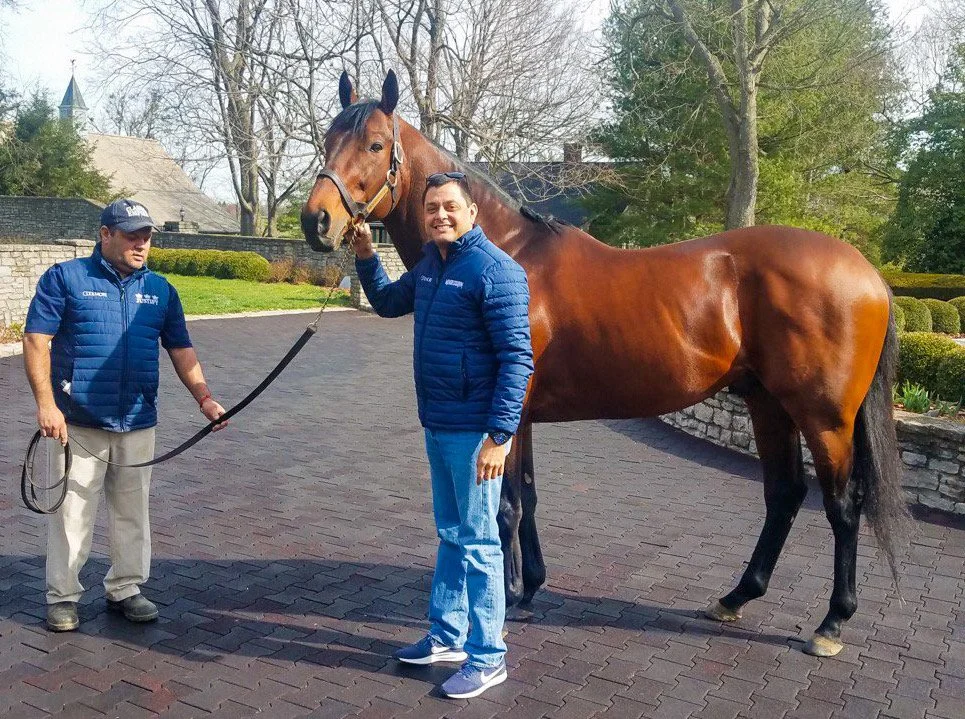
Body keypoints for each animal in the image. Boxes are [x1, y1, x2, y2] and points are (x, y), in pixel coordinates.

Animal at [301, 70, 908, 658]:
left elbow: (506, 506)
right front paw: (531, 585)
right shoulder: (520, 417)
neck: (506, 254)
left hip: (824, 418)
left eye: (375, 144)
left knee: (842, 505)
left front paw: (512, 594)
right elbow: (526, 497)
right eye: (326, 140)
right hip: (768, 404)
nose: (317, 222)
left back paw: (832, 621)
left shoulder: (508, 411)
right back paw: (735, 597)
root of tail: (869, 275)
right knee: (783, 495)